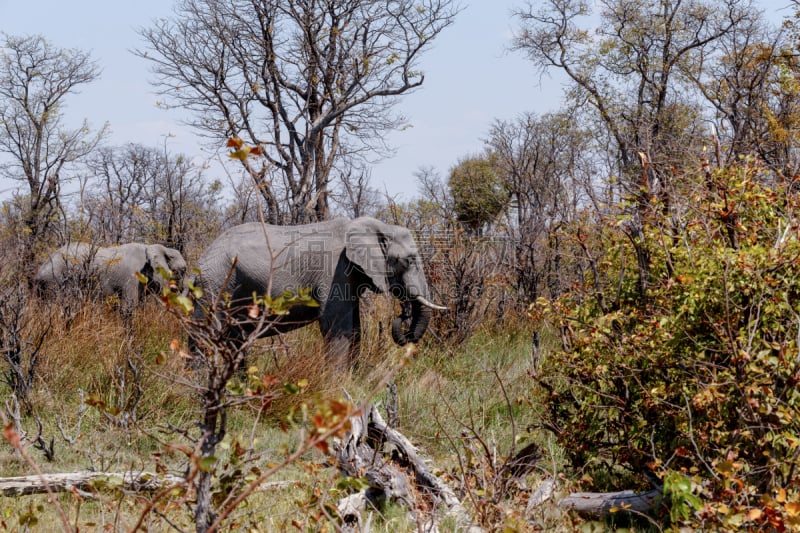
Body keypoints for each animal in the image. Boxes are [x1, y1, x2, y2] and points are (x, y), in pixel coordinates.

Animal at [191, 216, 446, 366]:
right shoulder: (335, 270)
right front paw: (338, 385)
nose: (404, 312)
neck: (376, 226)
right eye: (409, 260)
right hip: (214, 284)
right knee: (207, 337)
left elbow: (355, 329)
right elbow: (337, 326)